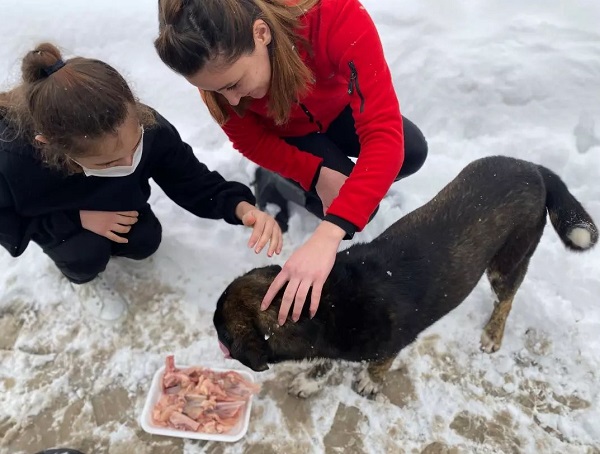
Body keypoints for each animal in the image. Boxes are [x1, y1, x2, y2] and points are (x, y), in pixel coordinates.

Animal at [213, 156, 598, 399]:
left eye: (222, 332)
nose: (217, 342)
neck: (329, 303)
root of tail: (535, 169)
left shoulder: (393, 342)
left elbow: (380, 364)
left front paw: (369, 382)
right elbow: (325, 362)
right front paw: (311, 381)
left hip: (508, 260)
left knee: (507, 298)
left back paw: (492, 334)